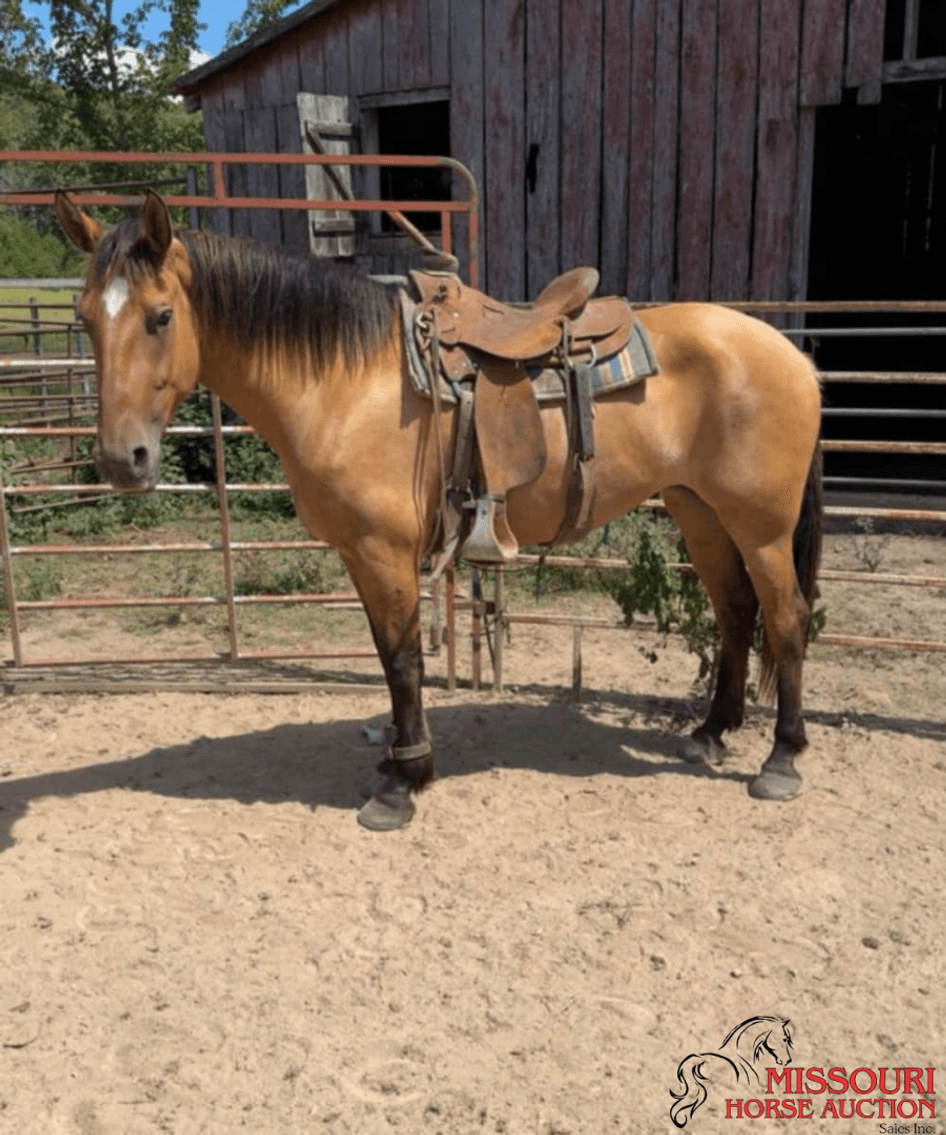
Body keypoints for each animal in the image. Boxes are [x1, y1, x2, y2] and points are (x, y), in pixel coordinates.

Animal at [55, 190, 823, 832]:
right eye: (84, 318)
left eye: (160, 317)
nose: (122, 460)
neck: (344, 379)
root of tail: (792, 355)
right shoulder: (362, 555)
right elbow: (387, 654)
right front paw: (397, 758)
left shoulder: (381, 550)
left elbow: (401, 661)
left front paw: (403, 781)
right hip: (702, 512)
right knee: (735, 612)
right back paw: (711, 733)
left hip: (760, 525)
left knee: (785, 617)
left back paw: (781, 759)